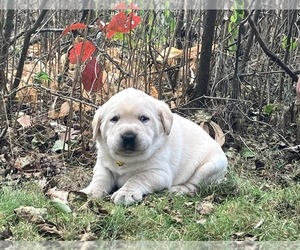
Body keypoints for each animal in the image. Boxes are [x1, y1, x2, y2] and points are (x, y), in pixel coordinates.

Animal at [81, 88, 226, 205]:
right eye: (114, 119)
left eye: (144, 118)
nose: (128, 136)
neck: (125, 160)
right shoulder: (103, 165)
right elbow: (100, 177)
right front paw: (92, 190)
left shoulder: (158, 173)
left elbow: (138, 178)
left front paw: (126, 193)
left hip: (210, 167)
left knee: (194, 185)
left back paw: (177, 189)